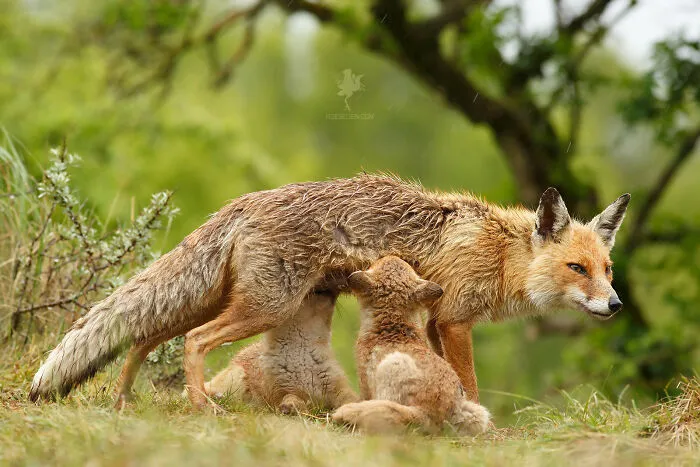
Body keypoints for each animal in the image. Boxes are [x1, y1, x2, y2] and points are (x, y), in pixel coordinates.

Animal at [191, 290, 358, 413]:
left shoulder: (338, 386)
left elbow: (351, 399)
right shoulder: (281, 390)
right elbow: (292, 398)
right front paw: (291, 407)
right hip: (236, 378)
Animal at [332, 256, 490, 435]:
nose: (392, 255)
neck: (394, 328)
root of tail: (432, 414)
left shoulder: (364, 380)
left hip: (392, 367)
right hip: (477, 411)